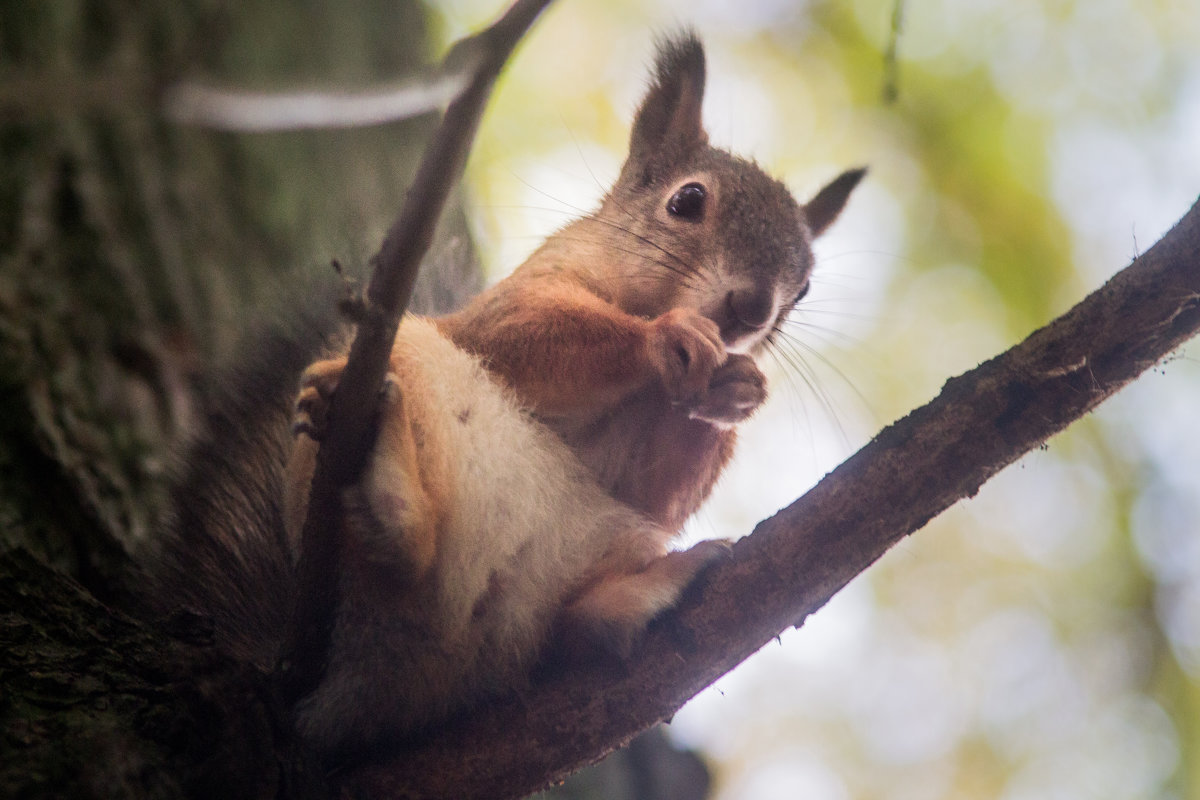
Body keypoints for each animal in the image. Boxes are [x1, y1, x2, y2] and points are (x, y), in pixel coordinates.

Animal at [150, 32, 864, 762]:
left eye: (804, 287)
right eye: (687, 201)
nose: (753, 310)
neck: (644, 393)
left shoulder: (645, 473)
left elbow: (653, 488)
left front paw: (736, 393)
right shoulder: (510, 304)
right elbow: (525, 336)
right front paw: (664, 338)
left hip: (595, 554)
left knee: (563, 626)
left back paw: (641, 593)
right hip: (390, 383)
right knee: (399, 553)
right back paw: (386, 476)